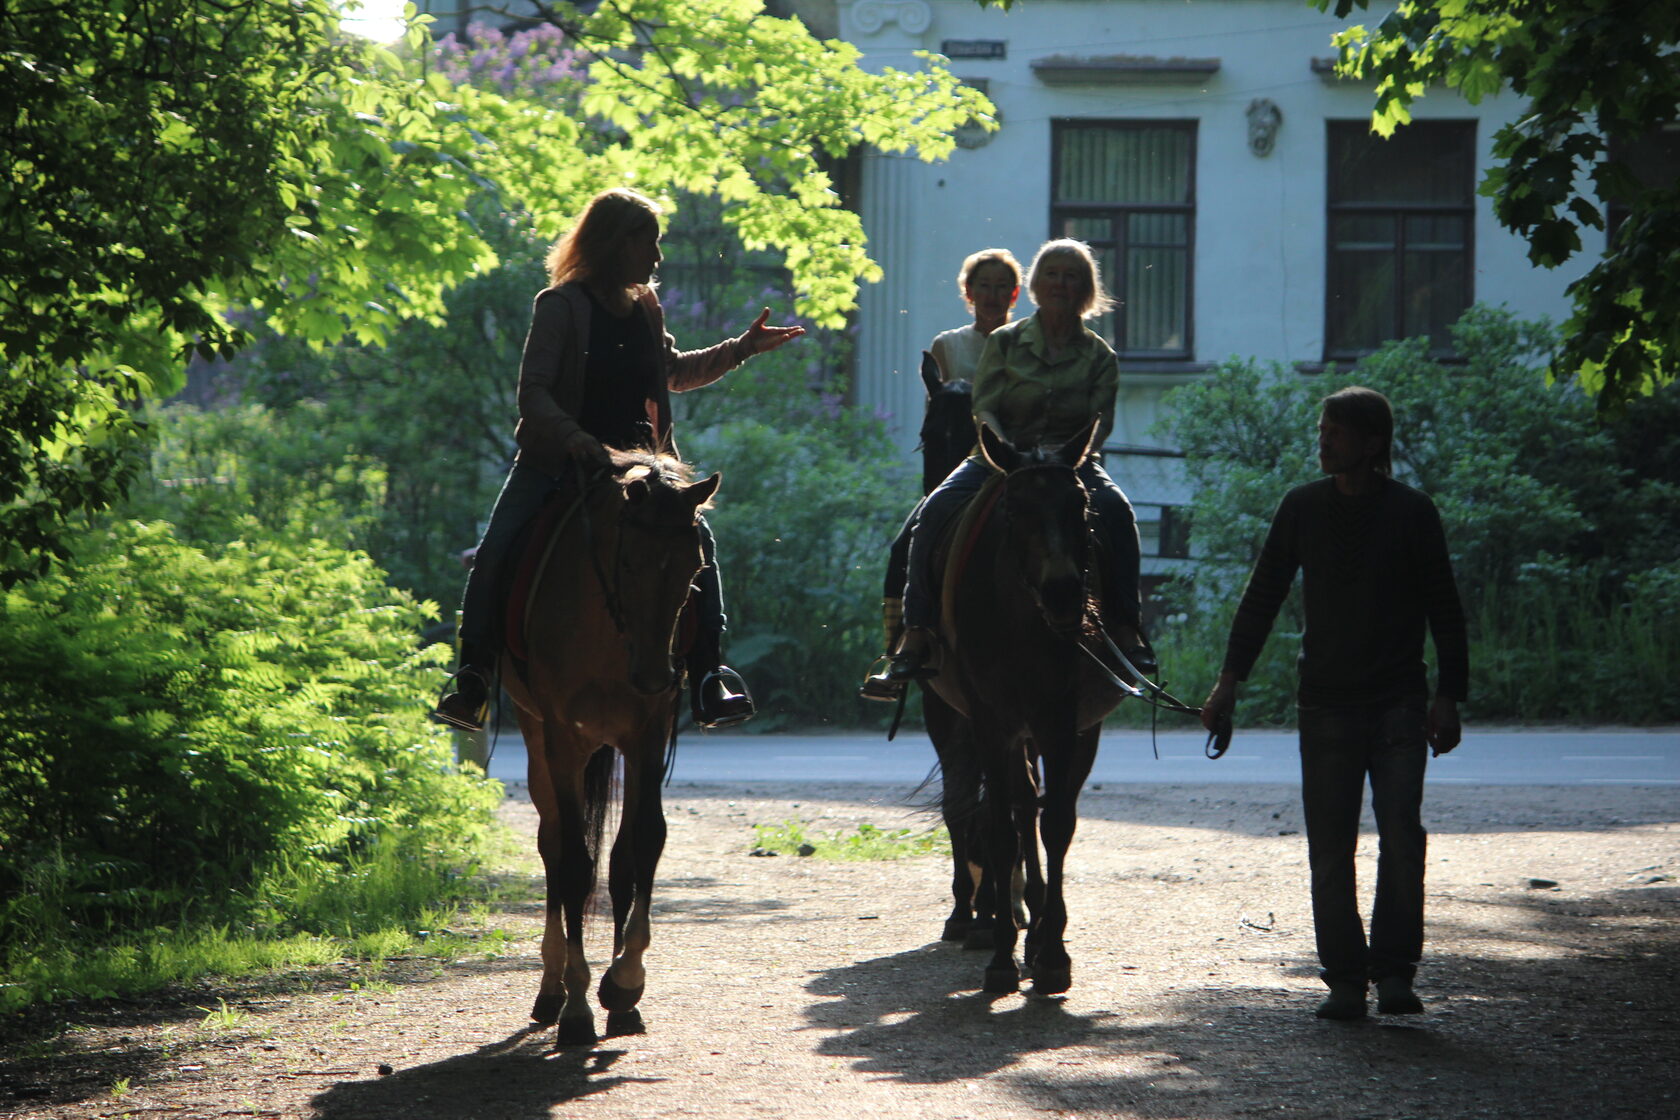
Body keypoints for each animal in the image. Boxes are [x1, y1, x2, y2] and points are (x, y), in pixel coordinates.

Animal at [490, 450, 715, 1047]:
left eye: (695, 569)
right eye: (628, 561)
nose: (656, 676)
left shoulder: (647, 736)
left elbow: (643, 844)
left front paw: (624, 983)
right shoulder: (563, 740)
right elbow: (573, 861)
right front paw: (577, 1006)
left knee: (615, 856)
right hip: (537, 739)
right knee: (552, 845)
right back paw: (551, 991)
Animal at [920, 423, 1128, 1000]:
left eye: (1080, 504)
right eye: (1014, 509)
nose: (1064, 593)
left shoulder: (1065, 725)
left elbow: (1055, 823)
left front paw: (1052, 952)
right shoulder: (991, 725)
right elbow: (997, 826)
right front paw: (1001, 956)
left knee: (1028, 807)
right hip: (962, 722)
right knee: (984, 808)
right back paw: (983, 917)